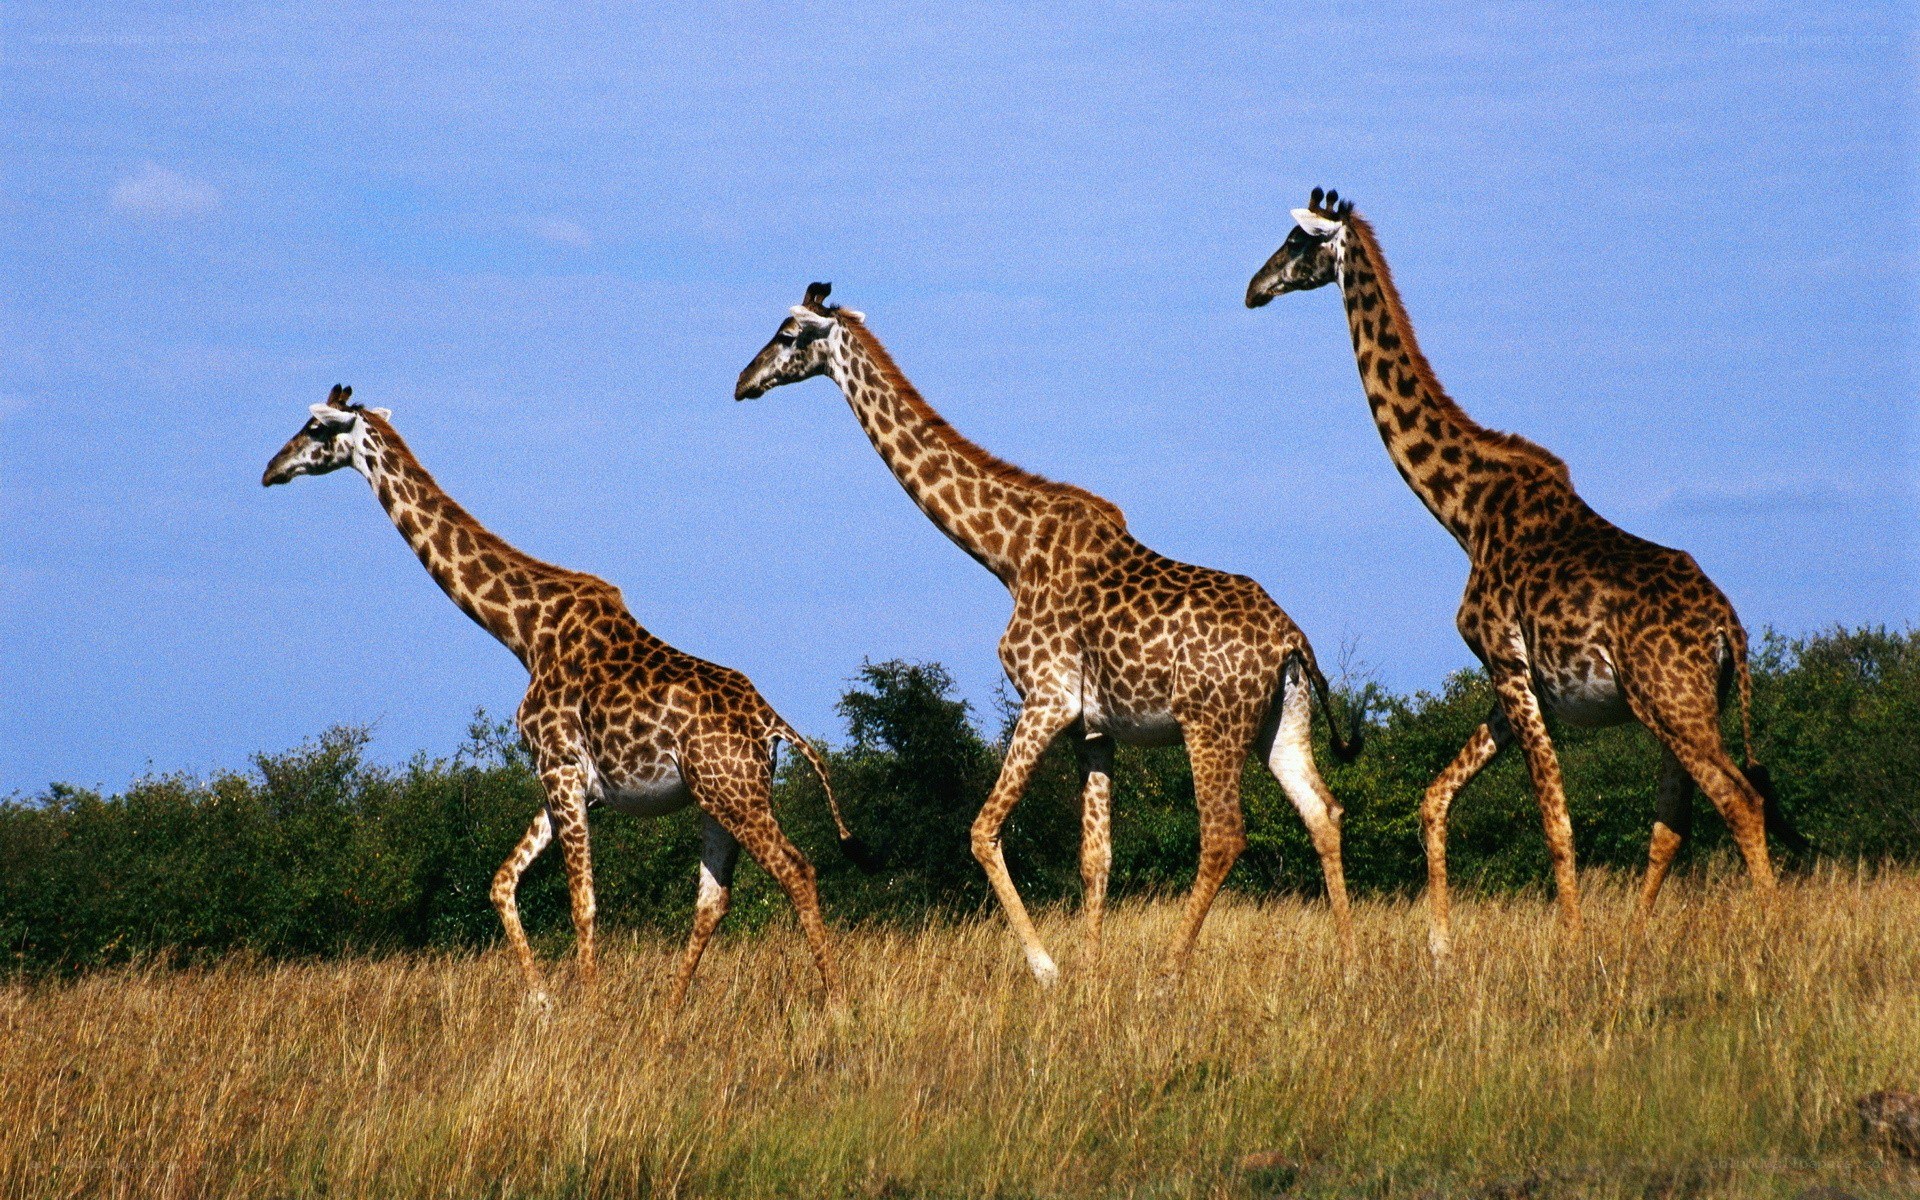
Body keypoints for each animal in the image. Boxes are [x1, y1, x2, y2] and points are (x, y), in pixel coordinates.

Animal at [263, 385, 871, 1004]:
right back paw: (672, 1007)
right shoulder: (570, 779)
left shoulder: (558, 767)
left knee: (796, 869)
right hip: (714, 797)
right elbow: (501, 881)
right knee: (713, 897)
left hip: (735, 793)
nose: (270, 469)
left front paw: (588, 1003)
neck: (524, 633)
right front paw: (542, 1000)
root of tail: (774, 723)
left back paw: (835, 1001)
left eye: (315, 428)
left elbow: (582, 900)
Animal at [735, 283, 1362, 983]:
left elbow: (982, 831)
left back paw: (1170, 972)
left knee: (1224, 835)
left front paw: (1048, 968)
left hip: (1211, 723)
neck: (1007, 553)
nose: (742, 382)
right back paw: (1349, 965)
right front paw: (1088, 973)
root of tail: (1292, 639)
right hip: (1281, 720)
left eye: (788, 334)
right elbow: (1095, 857)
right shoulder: (1093, 727)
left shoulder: (1047, 699)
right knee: (1324, 813)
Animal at [1247, 189, 1805, 957]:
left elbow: (1553, 816)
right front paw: (1440, 946)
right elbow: (1435, 796)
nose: (1253, 288)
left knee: (1739, 799)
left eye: (1298, 242)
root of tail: (1731, 628)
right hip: (1683, 705)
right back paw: (1637, 940)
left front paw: (1569, 943)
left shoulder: (1506, 663)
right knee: (1673, 820)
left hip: (1673, 702)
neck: (1466, 511)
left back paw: (1774, 934)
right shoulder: (1510, 680)